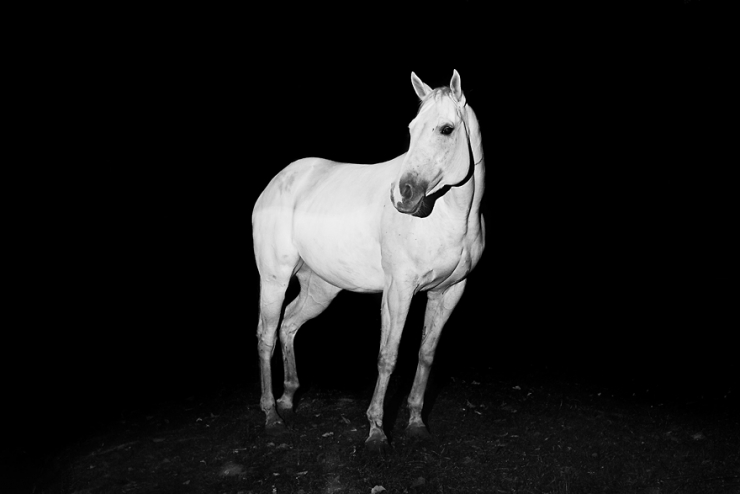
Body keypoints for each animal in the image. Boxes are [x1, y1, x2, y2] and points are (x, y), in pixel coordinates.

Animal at [251, 70, 485, 453]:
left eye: (446, 129)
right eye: (411, 128)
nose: (402, 195)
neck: (452, 217)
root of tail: (278, 181)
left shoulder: (449, 292)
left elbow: (426, 354)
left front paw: (416, 422)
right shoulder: (398, 291)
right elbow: (388, 356)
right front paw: (376, 430)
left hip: (320, 288)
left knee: (288, 325)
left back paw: (287, 399)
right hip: (274, 278)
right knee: (266, 335)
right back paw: (271, 415)